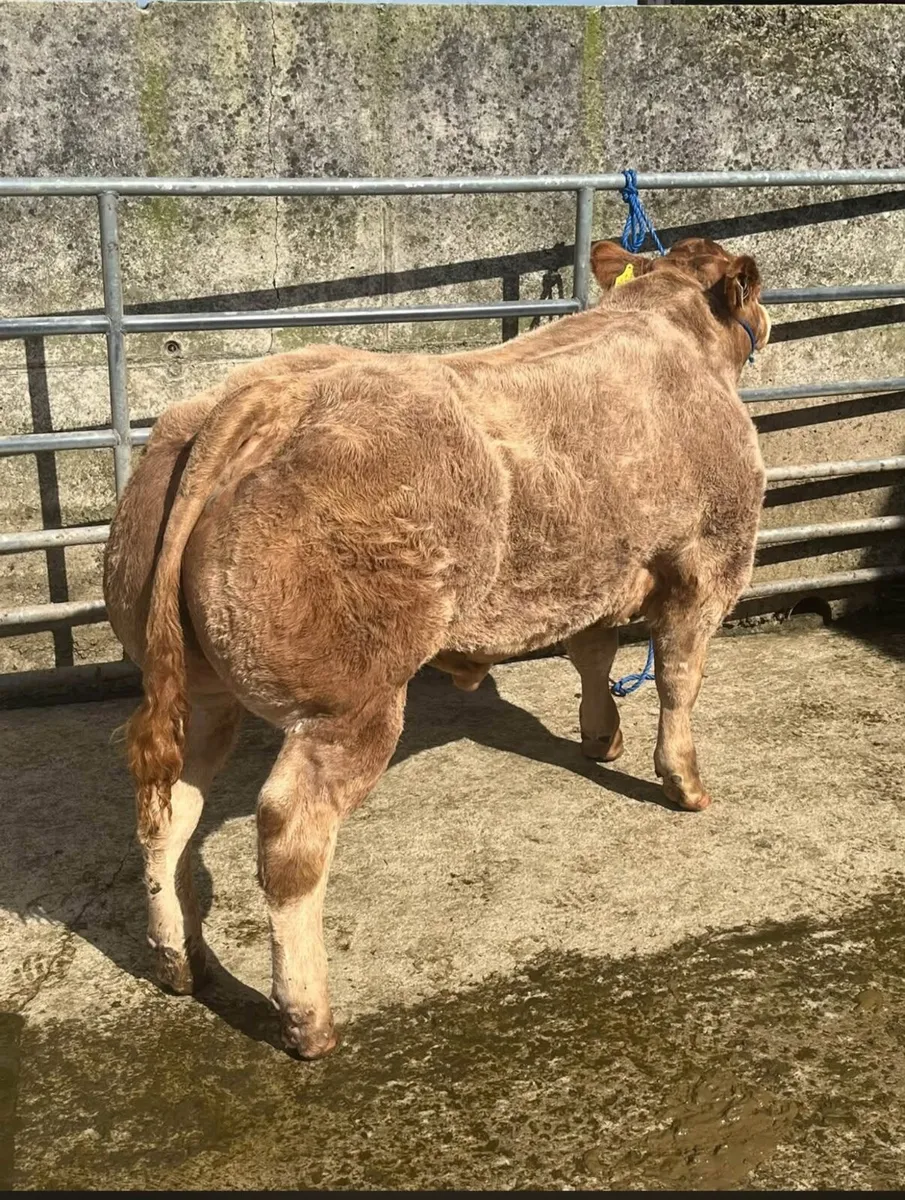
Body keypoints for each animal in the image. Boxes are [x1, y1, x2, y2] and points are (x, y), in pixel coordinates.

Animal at [103, 236, 770, 1058]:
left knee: (165, 809)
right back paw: (308, 1021)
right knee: (289, 836)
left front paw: (599, 740)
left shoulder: (593, 565)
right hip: (350, 700)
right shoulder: (712, 559)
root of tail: (261, 396)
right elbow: (679, 679)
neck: (669, 323)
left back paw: (179, 963)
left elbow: (591, 654)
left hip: (198, 687)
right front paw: (684, 784)